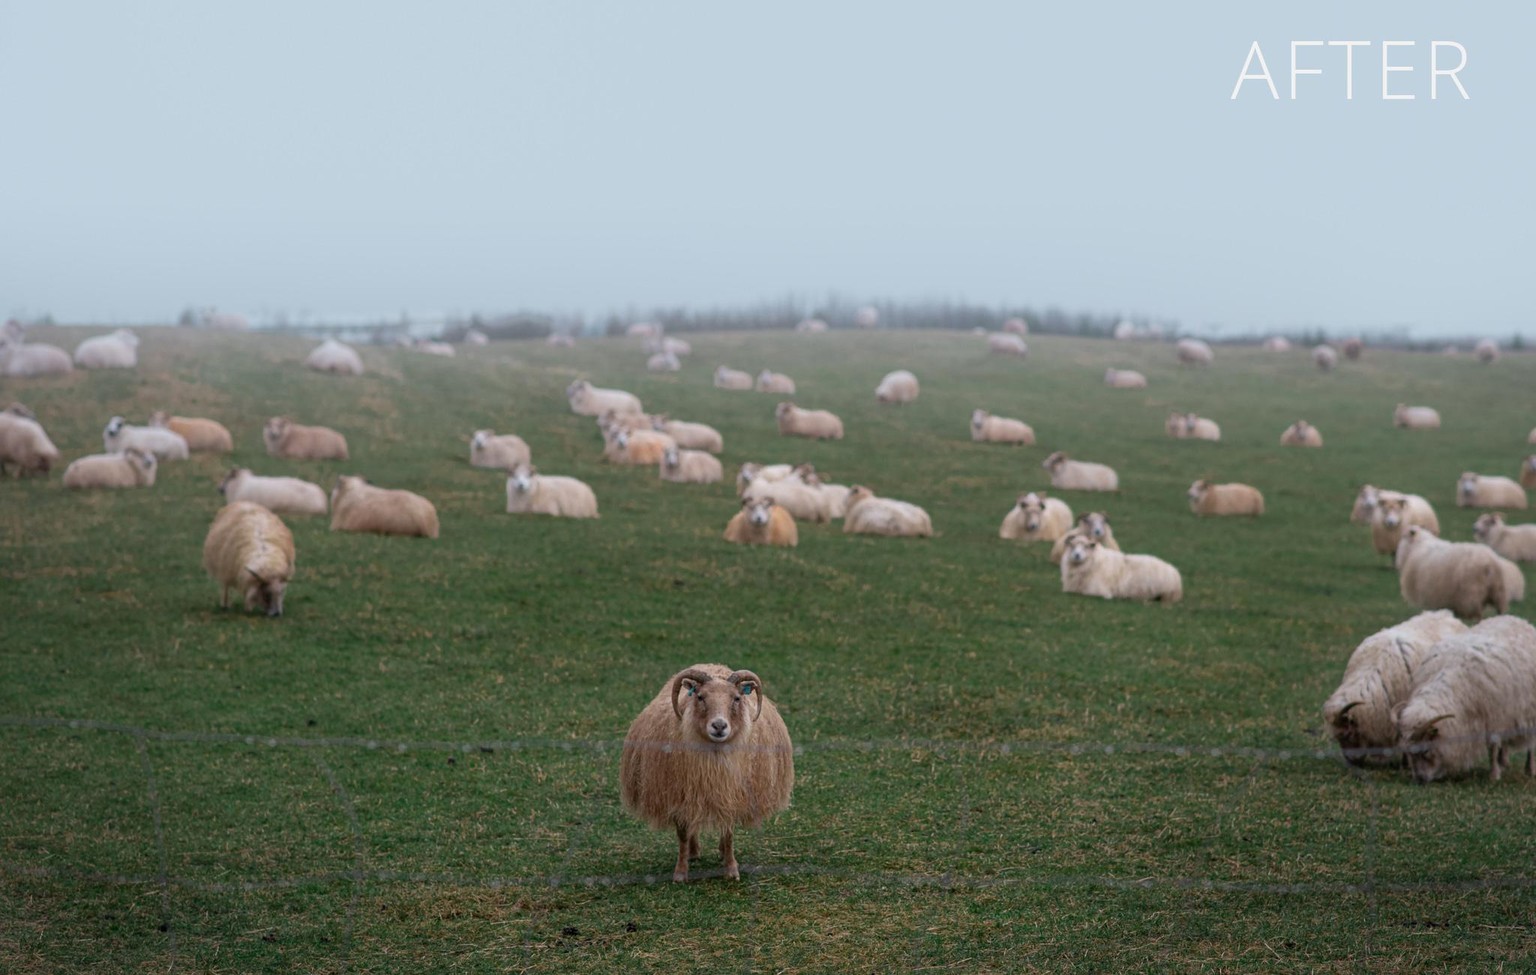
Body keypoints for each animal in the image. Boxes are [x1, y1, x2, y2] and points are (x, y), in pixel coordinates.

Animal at [619, 664, 794, 881]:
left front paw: (731, 869)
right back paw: (693, 852)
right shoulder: (678, 795)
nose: (719, 725)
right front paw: (680, 872)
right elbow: (683, 835)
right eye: (701, 697)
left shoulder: (731, 795)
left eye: (737, 698)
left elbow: (728, 834)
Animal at [1394, 615, 1536, 782]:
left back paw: (1530, 769)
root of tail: (1518, 620)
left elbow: (1492, 749)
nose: (1420, 780)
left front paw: (1494, 775)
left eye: (1426, 751)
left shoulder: (1492, 718)